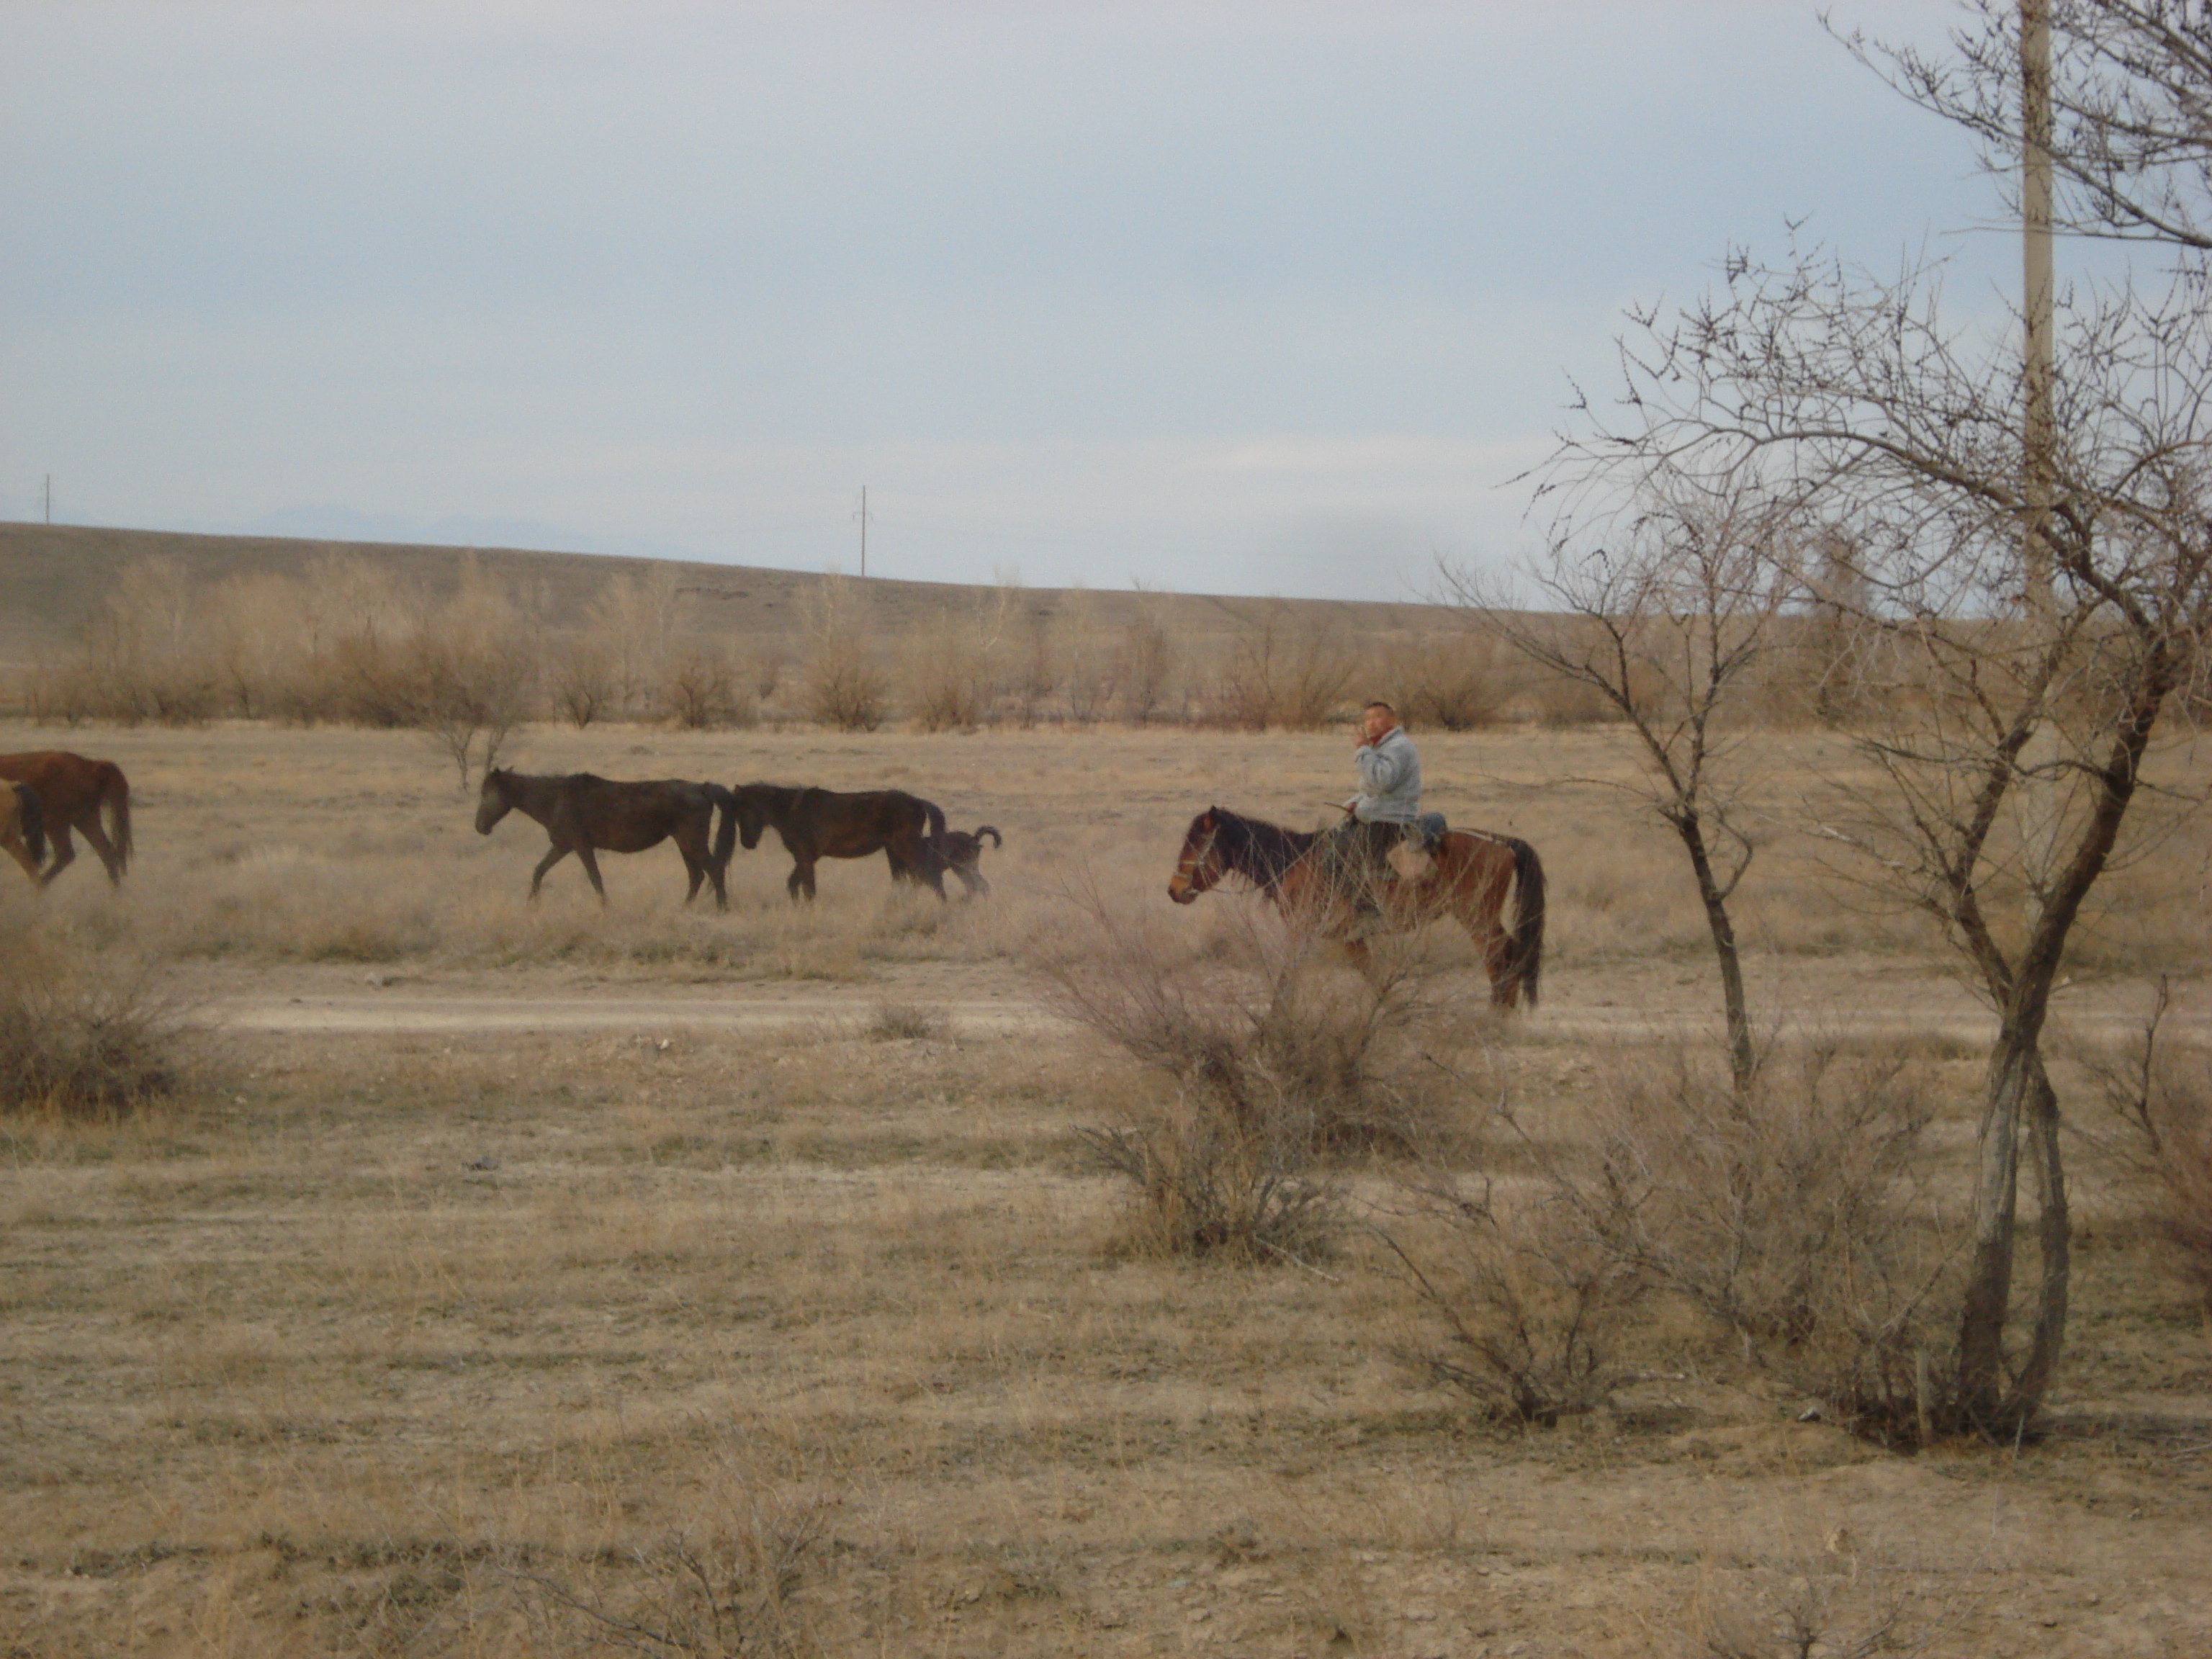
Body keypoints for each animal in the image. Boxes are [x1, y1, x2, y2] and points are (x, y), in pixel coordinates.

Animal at [471, 770, 739, 911]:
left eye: (485, 794)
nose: (479, 827)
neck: (555, 799)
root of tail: (701, 788)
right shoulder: (562, 846)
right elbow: (539, 871)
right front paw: (532, 905)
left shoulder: (581, 846)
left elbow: (595, 878)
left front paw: (606, 908)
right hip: (685, 844)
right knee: (697, 876)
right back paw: (684, 909)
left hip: (691, 842)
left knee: (713, 870)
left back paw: (722, 909)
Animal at [729, 787, 946, 902]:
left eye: (742, 812)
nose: (747, 843)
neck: (791, 811)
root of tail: (917, 802)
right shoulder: (806, 858)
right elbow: (794, 884)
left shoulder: (805, 856)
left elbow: (808, 888)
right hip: (893, 851)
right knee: (905, 880)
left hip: (905, 847)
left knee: (928, 876)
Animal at [1168, 805, 1548, 1012]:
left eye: (1197, 843)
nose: (1174, 890)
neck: (1294, 862)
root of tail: (1499, 842)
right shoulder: (1350, 938)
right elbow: (1373, 976)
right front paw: (1395, 1013)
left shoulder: (1303, 932)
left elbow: (1288, 978)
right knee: (1510, 952)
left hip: (1477, 918)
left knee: (1500, 954)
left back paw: (1496, 1014)